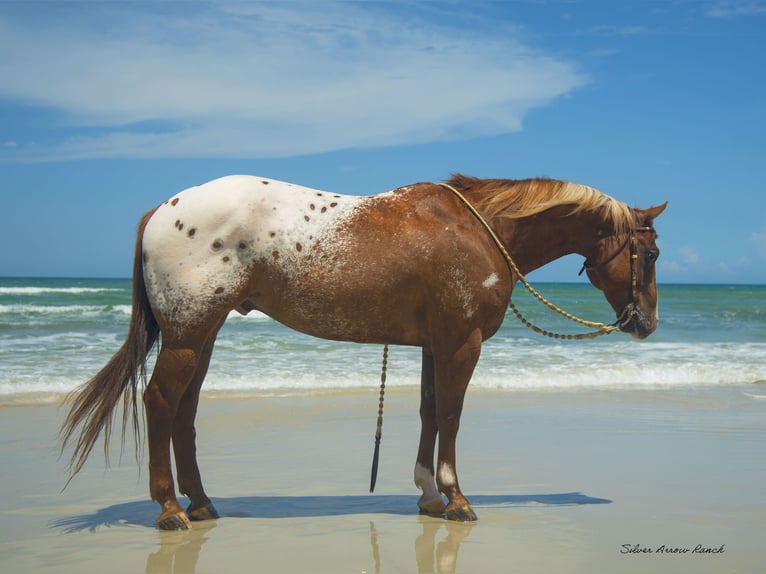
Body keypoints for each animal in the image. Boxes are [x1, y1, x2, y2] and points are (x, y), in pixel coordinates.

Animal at [63, 174, 668, 532]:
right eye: (653, 253)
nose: (646, 323)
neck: (479, 229)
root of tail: (163, 209)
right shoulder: (462, 342)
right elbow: (452, 415)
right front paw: (456, 498)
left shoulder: (436, 344)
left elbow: (429, 412)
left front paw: (428, 495)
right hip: (189, 334)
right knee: (162, 403)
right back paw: (169, 509)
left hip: (202, 335)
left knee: (184, 412)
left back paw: (202, 503)